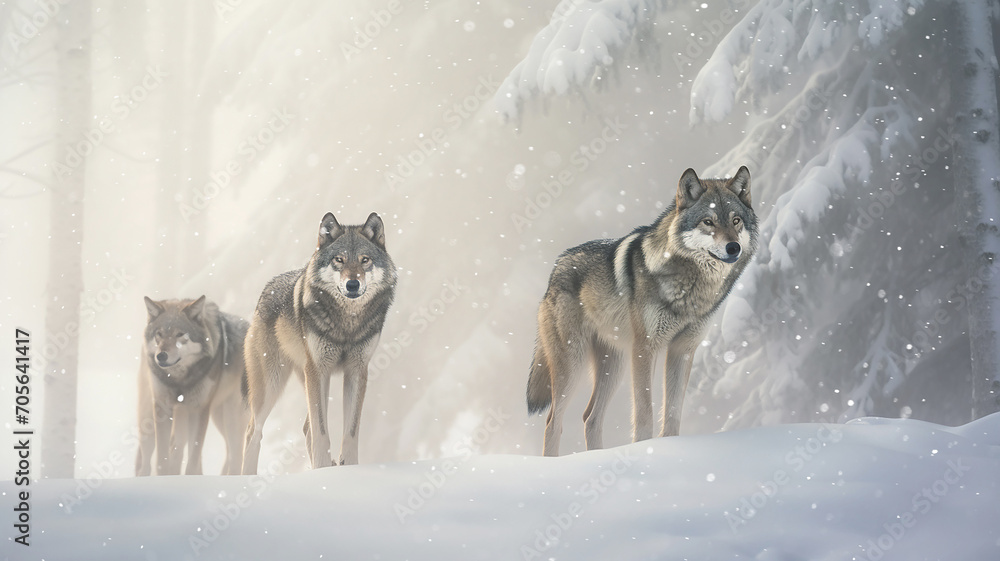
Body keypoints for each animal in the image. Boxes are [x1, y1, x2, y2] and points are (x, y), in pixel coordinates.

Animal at [136, 296, 249, 475]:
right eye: (159, 334)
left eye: (180, 334)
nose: (161, 356)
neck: (179, 380)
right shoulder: (162, 408)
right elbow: (162, 456)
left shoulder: (200, 409)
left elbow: (193, 457)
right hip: (148, 415)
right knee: (148, 456)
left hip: (229, 417)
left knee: (235, 452)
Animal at [241, 212, 396, 473]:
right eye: (339, 260)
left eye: (364, 260)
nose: (352, 284)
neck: (347, 323)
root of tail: (267, 288)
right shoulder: (318, 370)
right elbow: (321, 431)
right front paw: (324, 469)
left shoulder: (357, 371)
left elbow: (350, 432)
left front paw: (347, 468)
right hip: (273, 384)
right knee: (253, 431)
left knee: (305, 427)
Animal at [527, 166, 758, 456]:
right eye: (708, 222)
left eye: (736, 220)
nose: (733, 247)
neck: (691, 290)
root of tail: (556, 267)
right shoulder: (645, 349)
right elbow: (645, 412)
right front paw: (645, 451)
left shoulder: (683, 349)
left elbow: (673, 410)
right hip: (573, 364)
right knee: (552, 422)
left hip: (613, 367)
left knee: (590, 418)